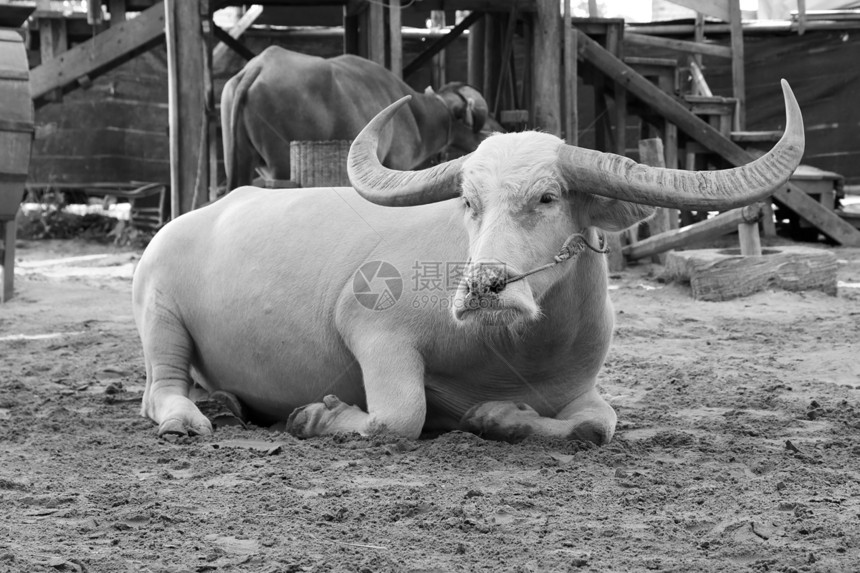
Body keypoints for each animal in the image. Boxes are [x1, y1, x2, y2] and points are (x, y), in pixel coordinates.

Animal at [131, 80, 804, 442]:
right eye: (469, 203)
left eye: (548, 198)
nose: (483, 287)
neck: (511, 349)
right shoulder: (372, 330)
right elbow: (399, 416)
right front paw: (317, 415)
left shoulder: (581, 389)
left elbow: (597, 424)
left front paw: (493, 416)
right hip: (158, 312)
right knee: (160, 389)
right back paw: (194, 417)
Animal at [222, 46, 490, 189]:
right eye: (478, 124)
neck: (419, 116)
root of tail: (258, 65)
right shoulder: (397, 163)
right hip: (281, 164)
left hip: (239, 159)